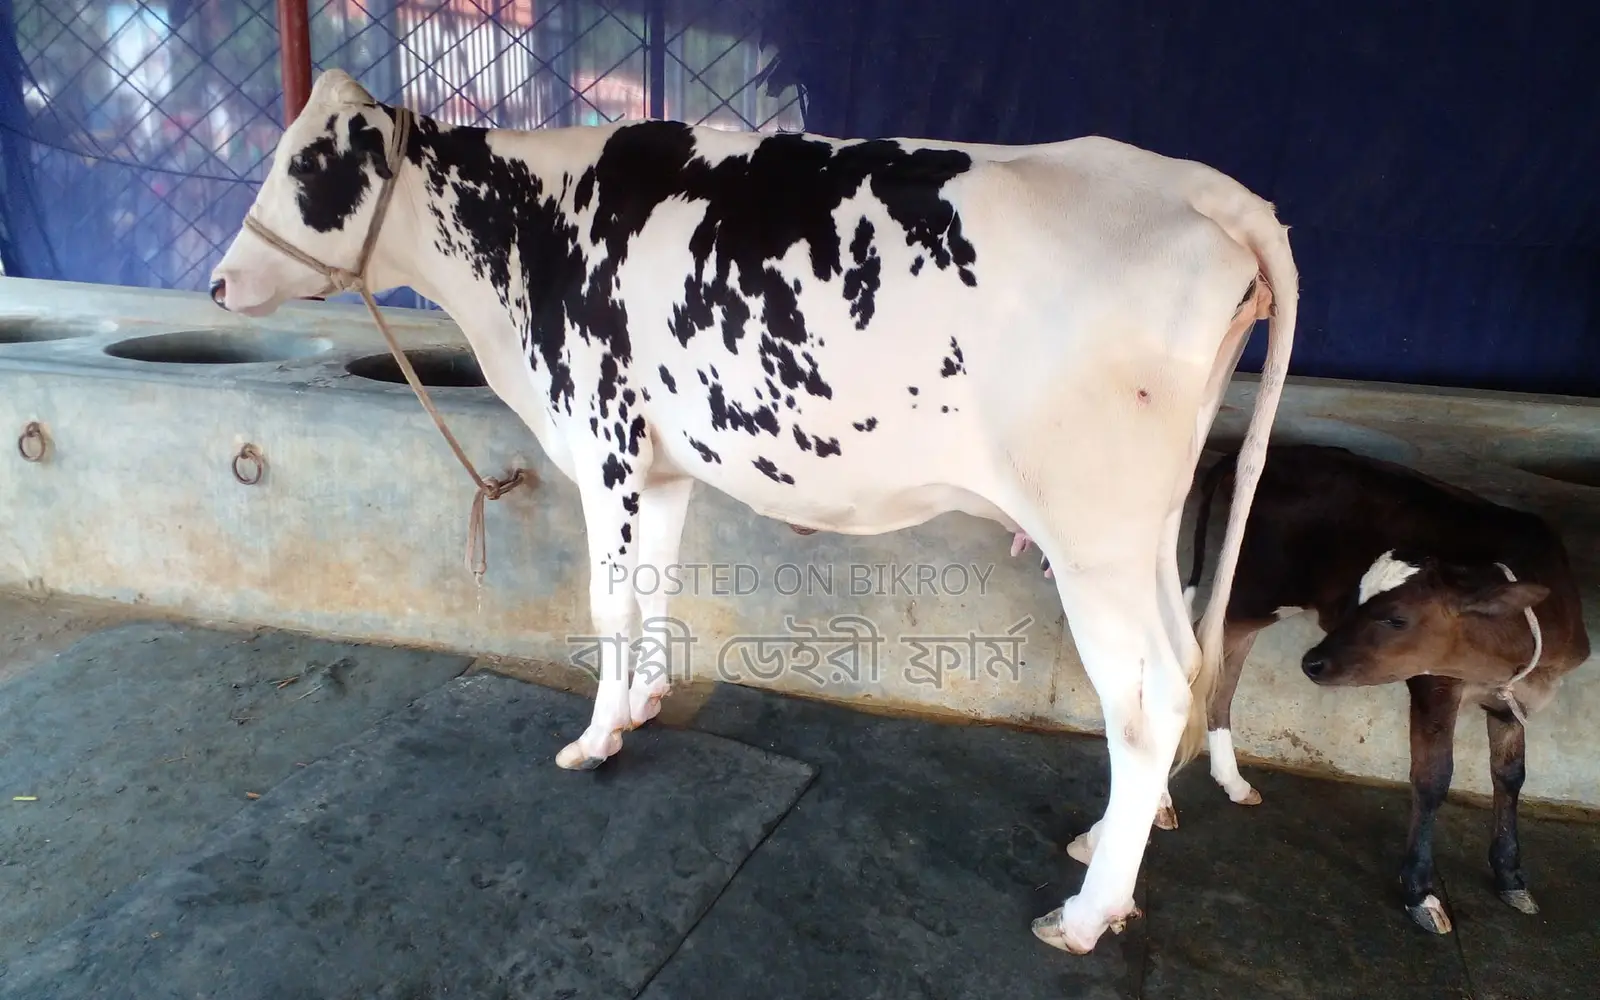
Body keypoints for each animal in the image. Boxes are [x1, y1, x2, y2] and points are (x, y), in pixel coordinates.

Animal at [206, 68, 1299, 955]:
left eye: (304, 165)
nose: (217, 282)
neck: (531, 241)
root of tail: (1201, 187)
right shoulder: (662, 464)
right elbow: (656, 590)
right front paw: (642, 704)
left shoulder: (604, 441)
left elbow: (609, 604)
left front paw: (594, 740)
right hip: (1145, 528)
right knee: (1184, 660)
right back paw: (1109, 837)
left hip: (1090, 535)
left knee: (1148, 698)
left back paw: (1085, 912)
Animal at [1173, 443, 1590, 934]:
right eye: (1356, 599)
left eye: (1395, 618)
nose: (1312, 662)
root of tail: (1275, 452)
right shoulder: (1435, 683)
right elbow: (1433, 778)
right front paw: (1421, 893)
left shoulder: (1511, 700)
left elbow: (1510, 776)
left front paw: (1510, 875)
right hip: (1255, 591)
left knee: (1225, 668)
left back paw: (1233, 782)